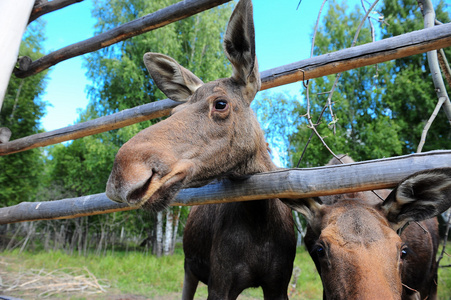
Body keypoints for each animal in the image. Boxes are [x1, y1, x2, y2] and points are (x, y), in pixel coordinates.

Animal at [105, 0, 296, 298]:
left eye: (220, 104)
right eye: (174, 111)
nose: (121, 175)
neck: (259, 216)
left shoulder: (278, 283)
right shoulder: (220, 282)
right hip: (189, 269)